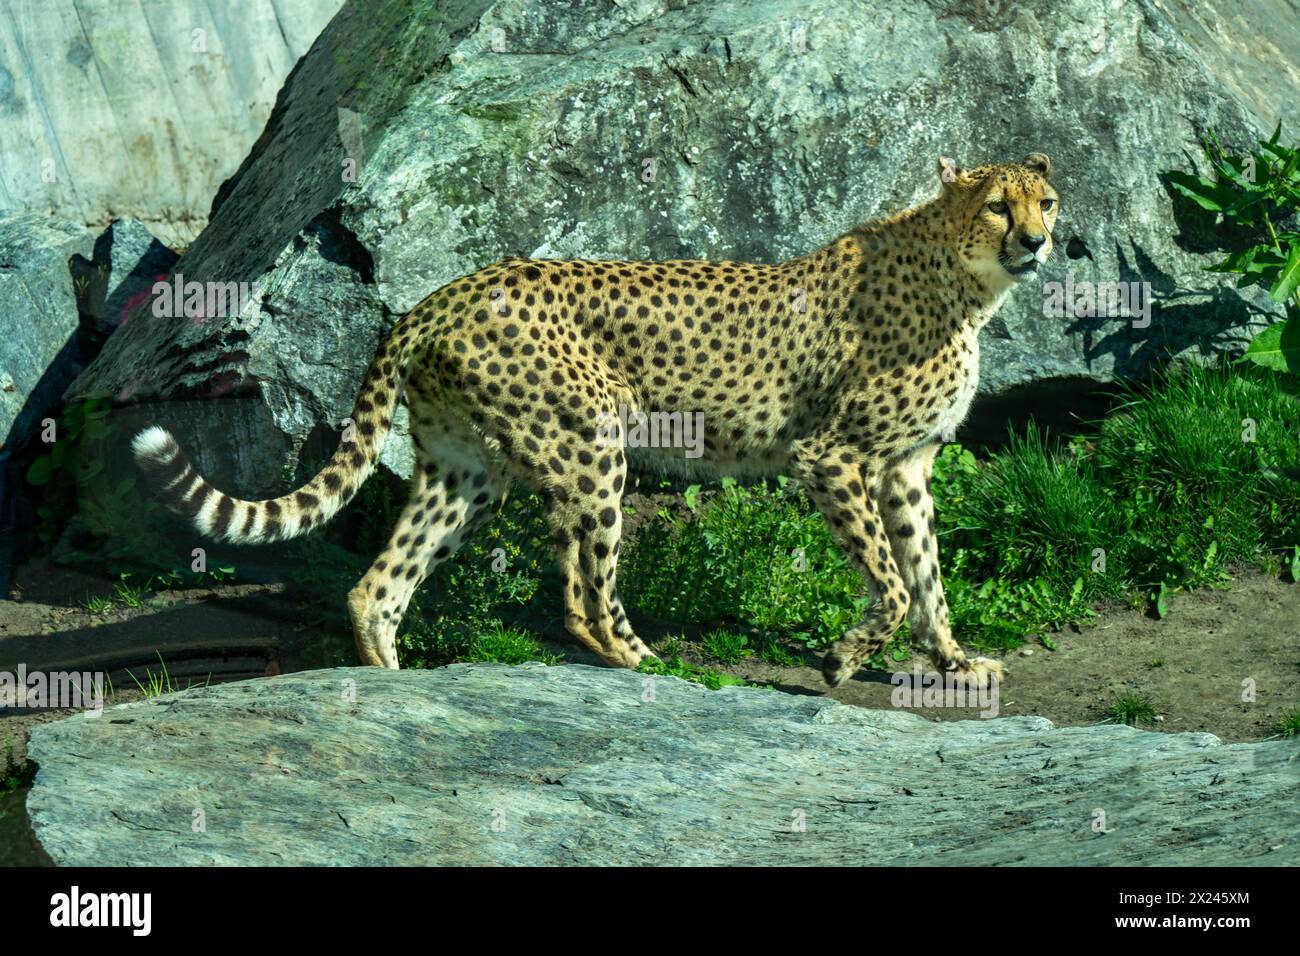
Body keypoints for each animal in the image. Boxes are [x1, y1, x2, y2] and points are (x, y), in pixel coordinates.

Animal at [137, 151, 1060, 686]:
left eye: (1046, 201)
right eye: (997, 207)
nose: (1040, 242)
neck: (964, 278)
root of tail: (448, 290)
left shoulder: (905, 466)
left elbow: (927, 575)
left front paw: (953, 659)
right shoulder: (833, 456)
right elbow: (894, 583)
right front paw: (840, 659)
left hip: (467, 472)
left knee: (380, 584)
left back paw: (392, 692)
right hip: (593, 444)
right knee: (584, 593)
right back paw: (650, 664)